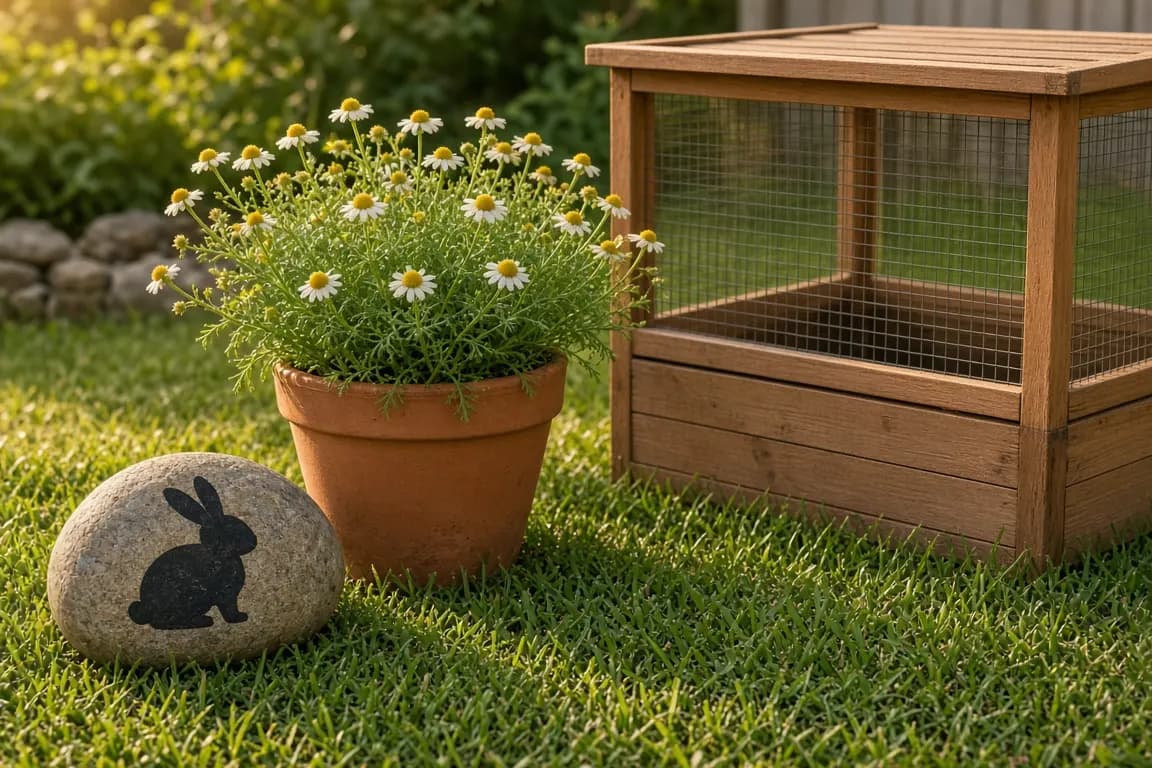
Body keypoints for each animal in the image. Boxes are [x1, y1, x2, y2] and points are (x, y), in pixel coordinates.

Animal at [128, 475, 258, 630]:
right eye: (234, 531)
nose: (254, 541)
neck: (218, 555)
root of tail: (145, 609)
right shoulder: (227, 596)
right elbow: (229, 611)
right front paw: (240, 618)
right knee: (162, 622)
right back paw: (201, 621)